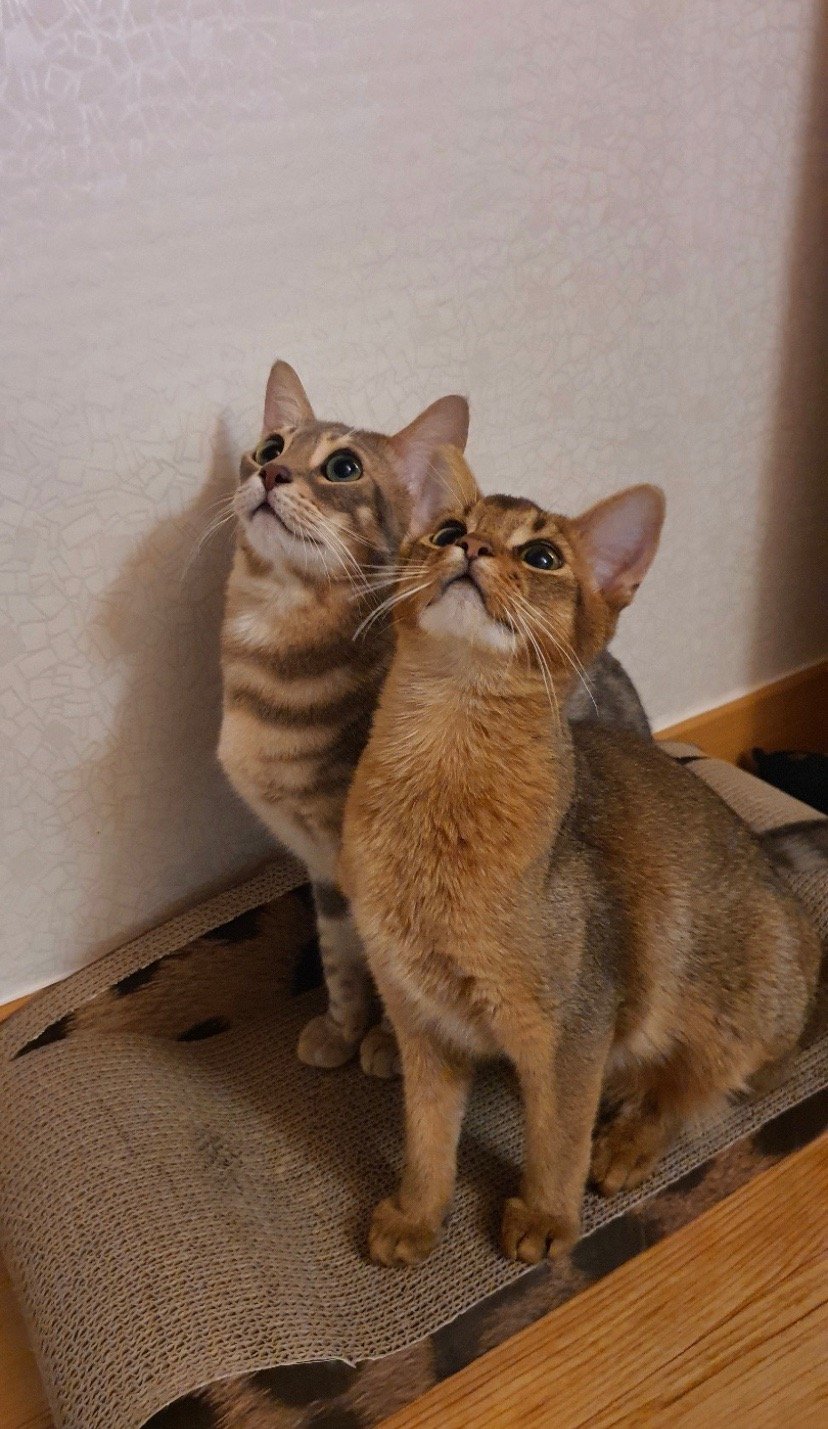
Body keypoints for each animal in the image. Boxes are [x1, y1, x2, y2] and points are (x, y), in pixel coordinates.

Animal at [218, 362, 651, 1078]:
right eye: (270, 446)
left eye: (342, 467)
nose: (271, 472)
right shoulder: (323, 869)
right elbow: (340, 960)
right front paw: (342, 1027)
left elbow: (394, 969)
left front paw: (388, 1044)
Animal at [339, 447, 820, 1266]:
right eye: (447, 529)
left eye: (541, 557)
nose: (473, 548)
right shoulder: (422, 1020)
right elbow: (426, 1135)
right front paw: (414, 1214)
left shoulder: (573, 1028)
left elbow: (557, 1135)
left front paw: (545, 1217)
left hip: (722, 999)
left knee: (701, 1092)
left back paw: (625, 1141)